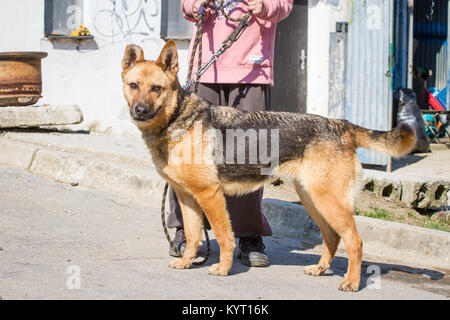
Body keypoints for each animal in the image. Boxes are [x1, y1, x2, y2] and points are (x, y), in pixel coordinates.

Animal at [120, 40, 414, 292]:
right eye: (134, 85)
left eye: (156, 88)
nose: (140, 111)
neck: (178, 118)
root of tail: (340, 125)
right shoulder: (188, 197)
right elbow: (193, 236)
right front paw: (186, 262)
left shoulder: (210, 195)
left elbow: (224, 236)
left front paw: (223, 269)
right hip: (313, 200)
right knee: (332, 237)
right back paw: (320, 269)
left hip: (328, 201)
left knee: (354, 241)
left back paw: (351, 282)